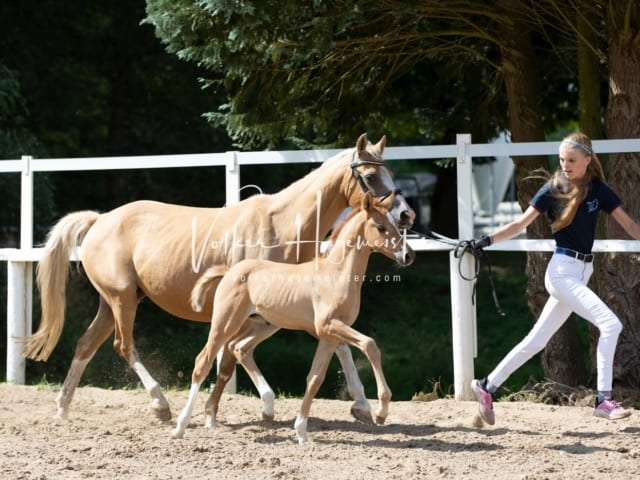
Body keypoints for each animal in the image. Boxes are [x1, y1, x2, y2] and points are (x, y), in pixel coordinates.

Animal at [172, 193, 416, 444]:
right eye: (380, 227)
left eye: (396, 225)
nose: (408, 255)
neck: (335, 275)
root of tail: (230, 271)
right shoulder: (329, 326)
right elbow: (370, 345)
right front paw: (381, 412)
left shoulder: (329, 335)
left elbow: (315, 378)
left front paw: (301, 432)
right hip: (225, 322)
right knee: (203, 361)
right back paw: (180, 426)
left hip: (264, 325)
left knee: (239, 348)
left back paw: (265, 408)